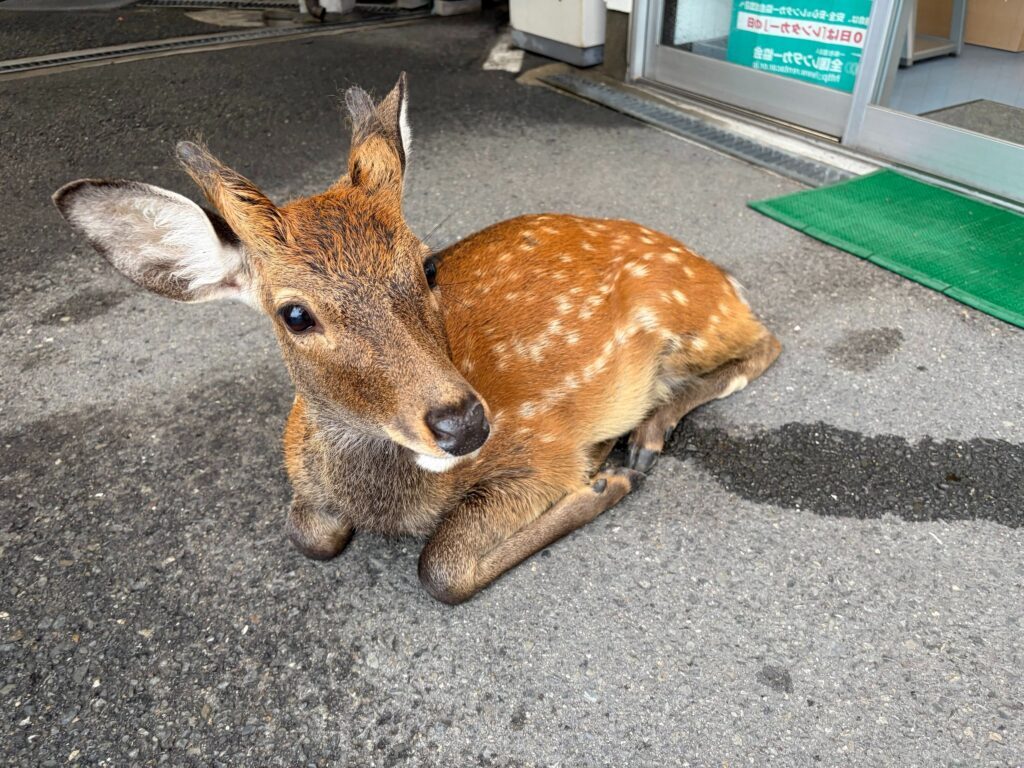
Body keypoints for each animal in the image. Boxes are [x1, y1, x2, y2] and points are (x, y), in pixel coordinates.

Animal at [53, 74, 781, 604]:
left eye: (427, 265)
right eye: (295, 314)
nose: (464, 423)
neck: (388, 499)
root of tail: (722, 276)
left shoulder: (543, 450)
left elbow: (441, 567)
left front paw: (603, 482)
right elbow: (308, 532)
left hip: (687, 313)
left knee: (766, 344)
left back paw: (645, 437)